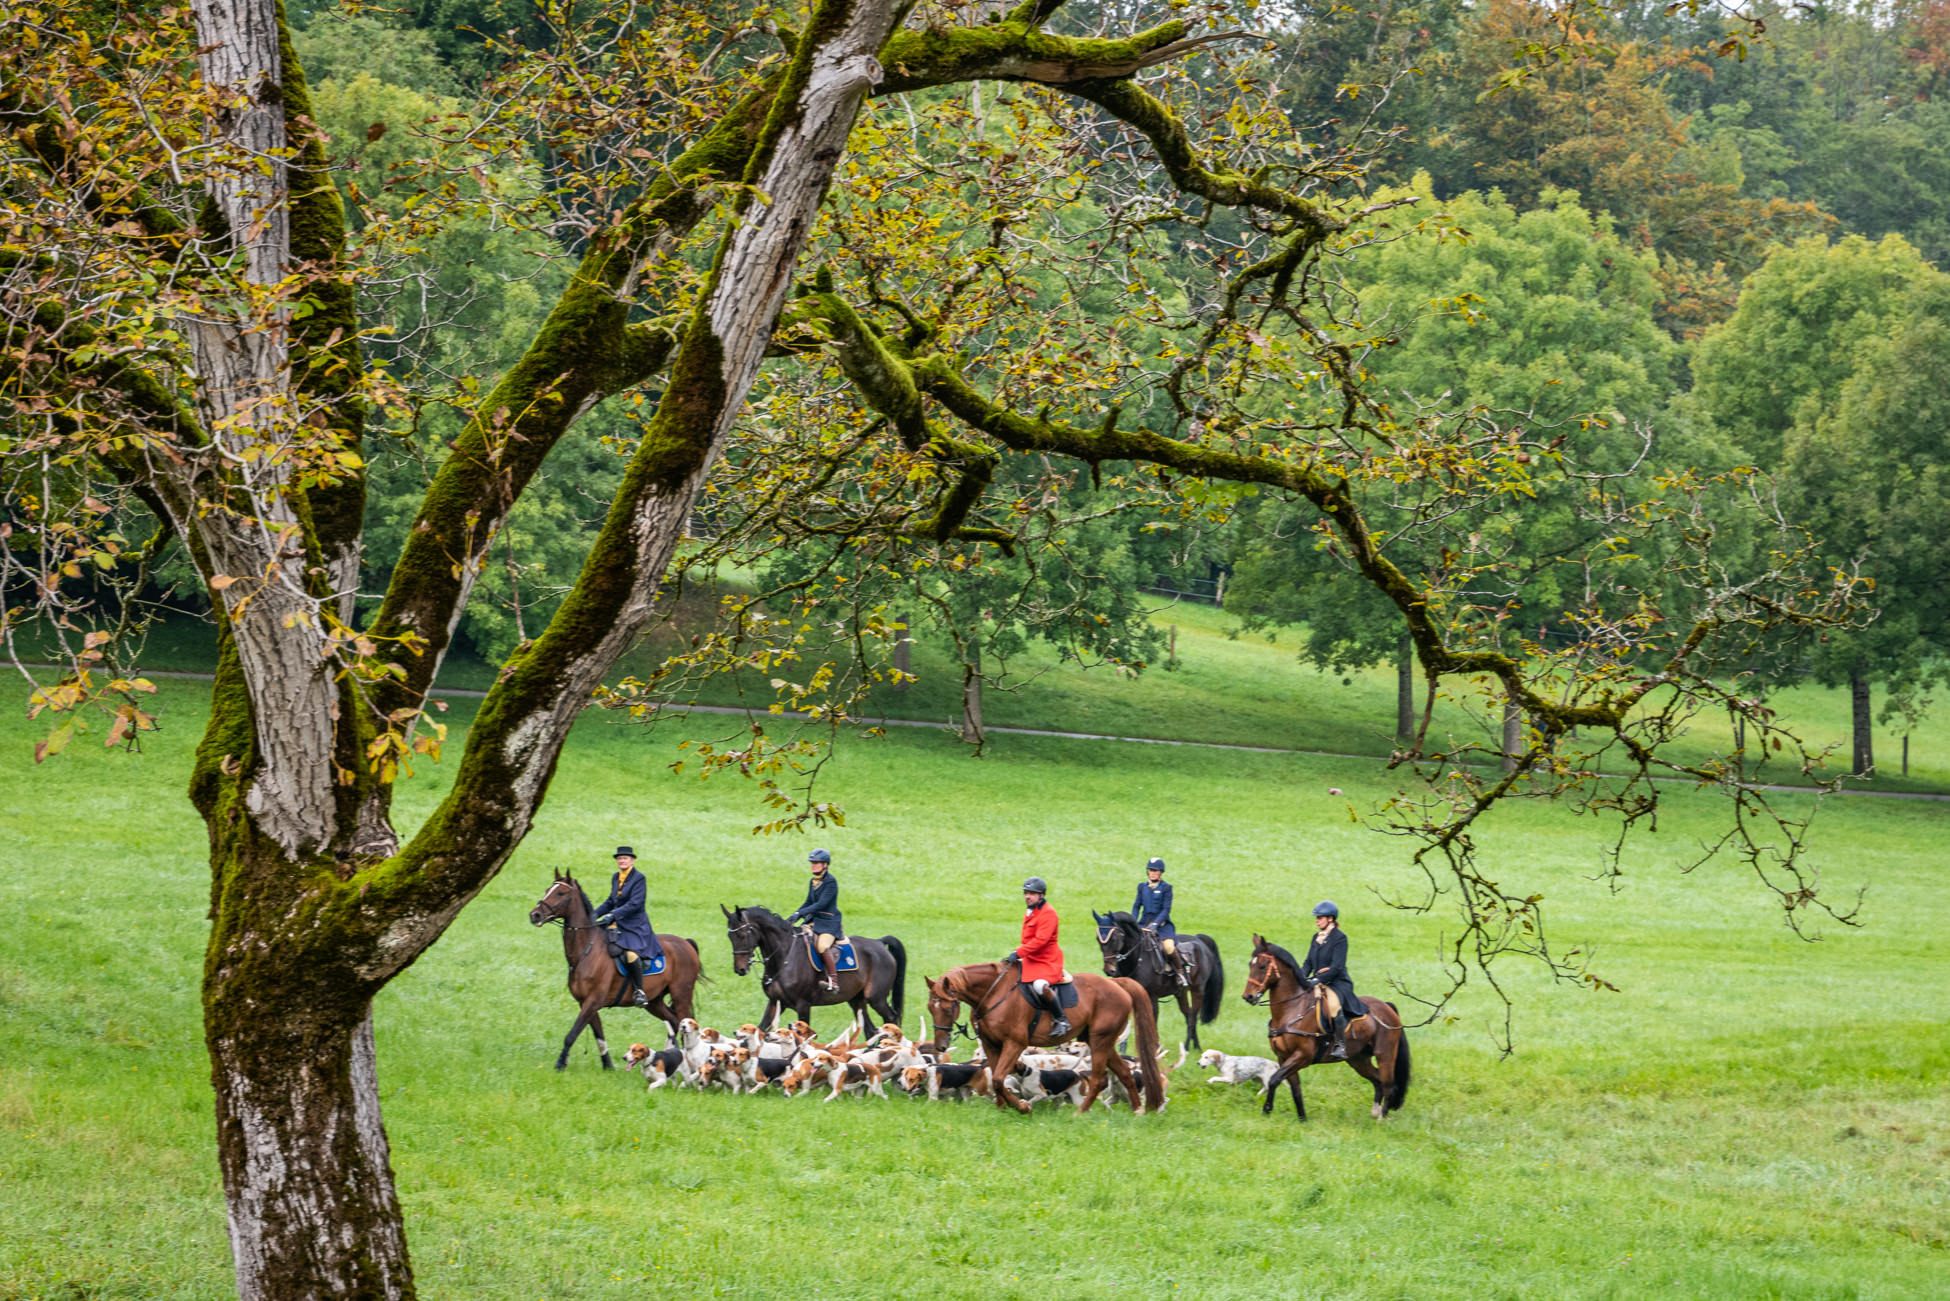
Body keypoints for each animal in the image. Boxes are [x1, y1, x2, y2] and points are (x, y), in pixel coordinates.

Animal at [528, 872, 704, 1070]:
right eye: (547, 890)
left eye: (561, 893)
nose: (535, 915)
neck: (586, 951)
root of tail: (686, 943)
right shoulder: (586, 1003)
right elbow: (599, 1035)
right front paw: (608, 1066)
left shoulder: (593, 1001)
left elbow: (572, 1034)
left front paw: (560, 1063)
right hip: (654, 1002)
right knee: (674, 1022)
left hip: (681, 995)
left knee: (686, 1025)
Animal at [720, 904, 905, 1037]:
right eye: (730, 936)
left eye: (742, 934)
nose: (740, 969)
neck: (784, 957)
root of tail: (879, 942)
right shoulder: (774, 1002)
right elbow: (760, 1029)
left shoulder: (803, 1005)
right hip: (856, 1000)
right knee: (869, 1030)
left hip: (876, 998)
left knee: (891, 1018)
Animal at [924, 963, 1168, 1115]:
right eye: (929, 1008)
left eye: (947, 1008)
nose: (941, 1046)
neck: (994, 993)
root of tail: (1117, 984)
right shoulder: (991, 1045)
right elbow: (997, 1078)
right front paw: (1003, 1107)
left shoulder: (1014, 1043)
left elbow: (999, 1078)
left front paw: (1021, 1107)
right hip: (1100, 1041)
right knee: (1124, 1072)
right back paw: (1137, 1109)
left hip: (1100, 1040)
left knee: (1099, 1079)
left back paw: (1080, 1113)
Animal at [1092, 910, 1225, 1065]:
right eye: (1098, 939)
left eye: (1113, 939)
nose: (1109, 971)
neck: (1138, 958)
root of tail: (1200, 940)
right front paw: (1123, 1048)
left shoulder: (1152, 996)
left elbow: (1151, 1020)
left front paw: (1153, 1050)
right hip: (1181, 992)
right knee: (1189, 1014)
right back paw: (1194, 1046)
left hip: (1197, 990)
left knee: (1193, 1016)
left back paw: (1189, 1047)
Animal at [1239, 933, 1410, 1121]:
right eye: (1250, 964)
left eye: (1262, 966)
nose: (1248, 996)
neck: (1292, 1009)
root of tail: (1387, 1007)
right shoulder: (1283, 1057)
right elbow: (1295, 1088)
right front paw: (1302, 1119)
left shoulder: (1302, 1055)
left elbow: (1274, 1079)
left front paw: (1267, 1109)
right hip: (1358, 1059)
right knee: (1378, 1079)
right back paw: (1376, 1112)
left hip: (1385, 1054)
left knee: (1389, 1084)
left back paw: (1382, 1118)